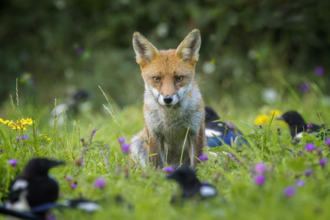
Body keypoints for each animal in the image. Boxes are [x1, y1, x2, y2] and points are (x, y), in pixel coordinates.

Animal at [131, 28, 204, 167]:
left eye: (179, 78)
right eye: (156, 79)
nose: (168, 99)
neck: (171, 120)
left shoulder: (195, 131)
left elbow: (196, 162)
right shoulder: (154, 133)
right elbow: (158, 164)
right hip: (137, 143)